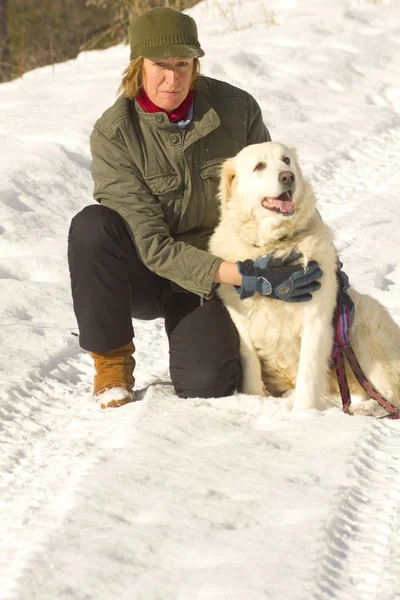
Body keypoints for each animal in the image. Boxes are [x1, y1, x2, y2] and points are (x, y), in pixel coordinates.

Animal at [209, 141, 400, 414]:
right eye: (259, 166)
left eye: (286, 160)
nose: (287, 177)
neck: (275, 249)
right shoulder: (241, 324)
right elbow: (251, 365)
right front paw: (255, 399)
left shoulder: (316, 321)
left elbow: (308, 376)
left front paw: (303, 416)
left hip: (363, 333)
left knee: (386, 394)